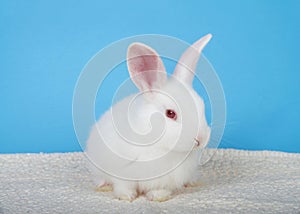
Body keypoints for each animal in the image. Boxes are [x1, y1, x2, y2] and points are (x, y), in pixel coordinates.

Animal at [85, 33, 212, 201]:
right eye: (170, 113)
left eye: (201, 106)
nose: (200, 139)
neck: (160, 146)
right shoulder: (121, 172)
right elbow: (123, 185)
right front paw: (126, 196)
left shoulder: (164, 179)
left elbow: (159, 188)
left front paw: (158, 197)